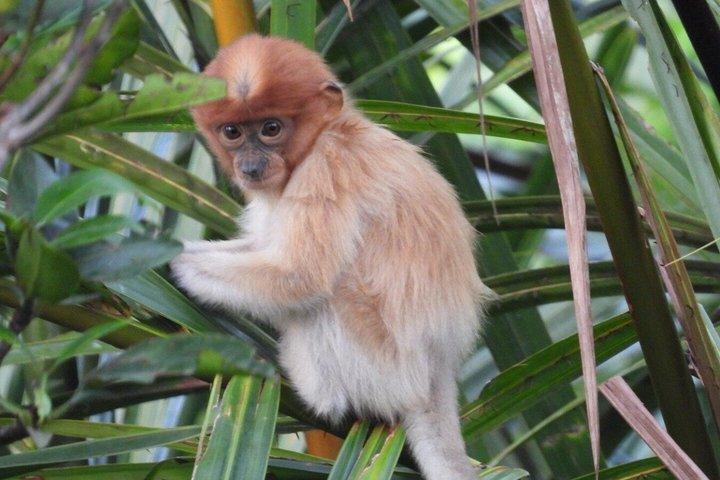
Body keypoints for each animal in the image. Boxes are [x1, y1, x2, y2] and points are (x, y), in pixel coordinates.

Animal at [171, 34, 493, 480]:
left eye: (271, 129)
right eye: (232, 132)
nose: (250, 164)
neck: (334, 130)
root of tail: (438, 368)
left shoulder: (328, 166)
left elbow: (299, 277)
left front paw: (168, 264)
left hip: (382, 369)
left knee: (328, 293)